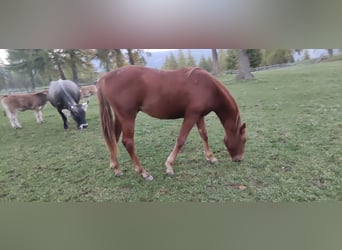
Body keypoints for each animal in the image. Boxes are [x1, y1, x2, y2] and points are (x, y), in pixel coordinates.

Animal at [96, 65, 246, 181]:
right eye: (244, 140)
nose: (239, 159)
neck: (208, 87)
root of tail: (105, 77)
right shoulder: (191, 115)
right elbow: (181, 140)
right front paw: (169, 166)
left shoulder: (199, 116)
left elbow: (204, 135)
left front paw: (211, 157)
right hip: (128, 116)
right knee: (128, 142)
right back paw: (143, 172)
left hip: (120, 117)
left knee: (114, 139)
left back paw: (116, 168)